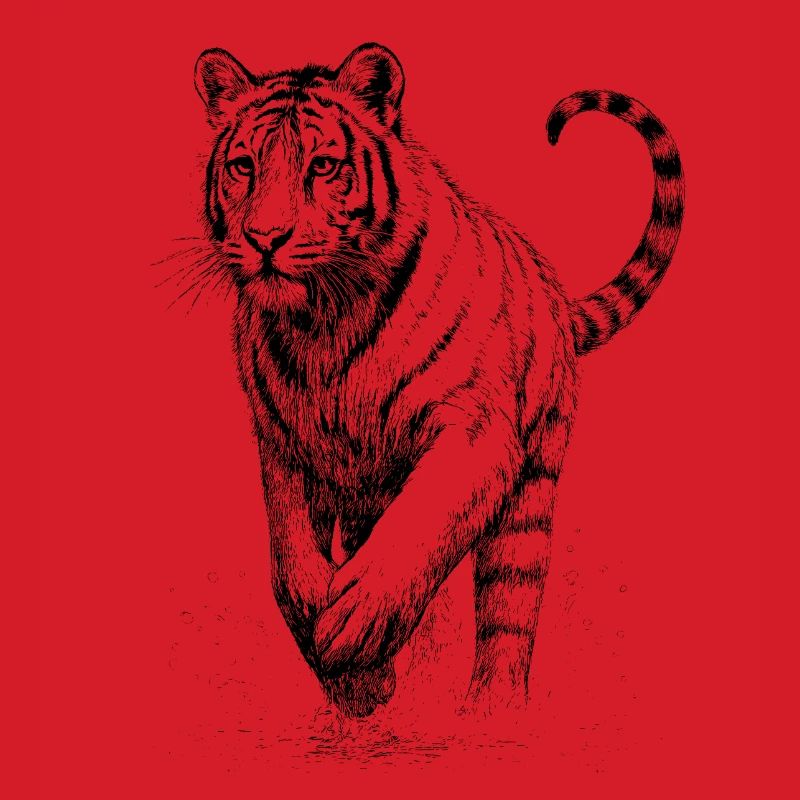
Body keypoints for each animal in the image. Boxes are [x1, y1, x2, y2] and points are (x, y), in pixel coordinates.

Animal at [188, 43, 684, 718]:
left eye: (322, 166)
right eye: (243, 167)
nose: (265, 238)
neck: (324, 322)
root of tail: (555, 294)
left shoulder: (475, 431)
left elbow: (419, 526)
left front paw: (358, 627)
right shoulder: (282, 441)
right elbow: (290, 560)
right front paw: (355, 681)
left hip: (532, 491)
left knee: (509, 605)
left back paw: (491, 712)